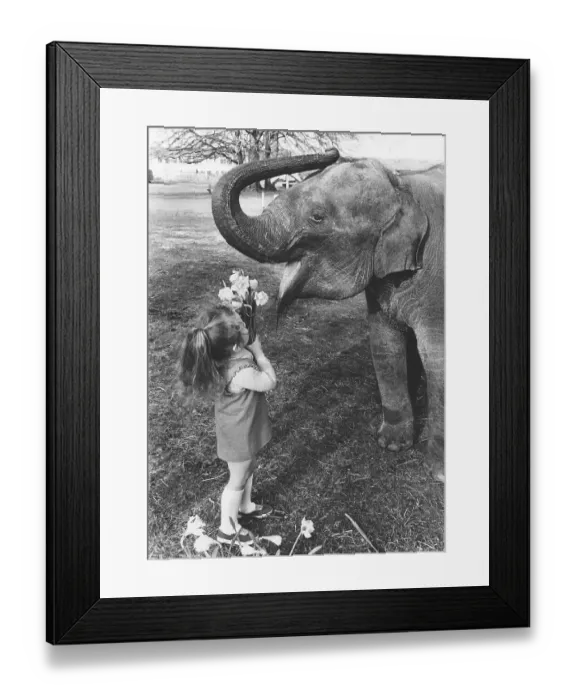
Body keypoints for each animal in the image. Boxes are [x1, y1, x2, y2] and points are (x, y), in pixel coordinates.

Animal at [211, 148, 445, 482]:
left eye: (317, 217)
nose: (333, 151)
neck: (402, 185)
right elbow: (384, 344)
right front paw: (391, 445)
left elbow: (437, 358)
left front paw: (440, 474)